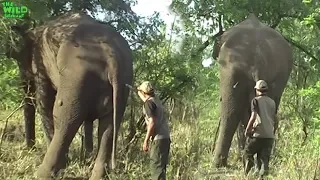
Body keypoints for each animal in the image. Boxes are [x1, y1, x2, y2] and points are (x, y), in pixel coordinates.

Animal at [6, 11, 134, 179]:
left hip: (77, 77)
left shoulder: (41, 65)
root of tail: (112, 56)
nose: (29, 148)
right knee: (110, 124)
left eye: (19, 59)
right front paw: (86, 156)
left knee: (64, 117)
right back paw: (97, 175)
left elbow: (44, 102)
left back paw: (41, 174)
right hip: (123, 80)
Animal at [212, 13, 292, 167]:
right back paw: (260, 161)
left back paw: (219, 164)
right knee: (272, 113)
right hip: (279, 74)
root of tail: (258, 58)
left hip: (231, 69)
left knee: (230, 112)